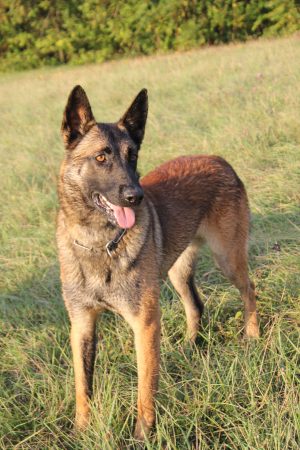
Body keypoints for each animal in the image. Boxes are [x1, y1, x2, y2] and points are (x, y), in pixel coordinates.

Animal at [56, 86, 260, 442]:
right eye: (101, 157)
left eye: (132, 156)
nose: (135, 197)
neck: (98, 243)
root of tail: (218, 159)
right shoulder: (81, 325)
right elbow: (83, 386)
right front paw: (81, 431)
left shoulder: (145, 324)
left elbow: (145, 387)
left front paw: (142, 436)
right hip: (178, 272)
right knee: (196, 305)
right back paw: (191, 345)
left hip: (227, 259)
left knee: (249, 290)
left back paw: (252, 336)